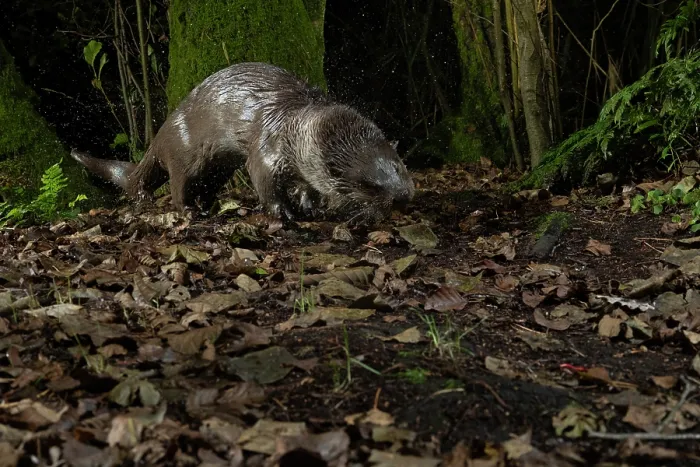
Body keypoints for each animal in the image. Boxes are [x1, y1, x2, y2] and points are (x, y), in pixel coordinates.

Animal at [72, 62, 415, 224]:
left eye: (399, 167)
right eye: (369, 184)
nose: (404, 197)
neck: (294, 125)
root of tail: (162, 131)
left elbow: (307, 186)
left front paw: (310, 208)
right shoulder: (269, 149)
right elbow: (263, 179)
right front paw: (283, 212)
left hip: (218, 168)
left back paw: (208, 205)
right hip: (185, 153)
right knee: (177, 183)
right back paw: (189, 211)